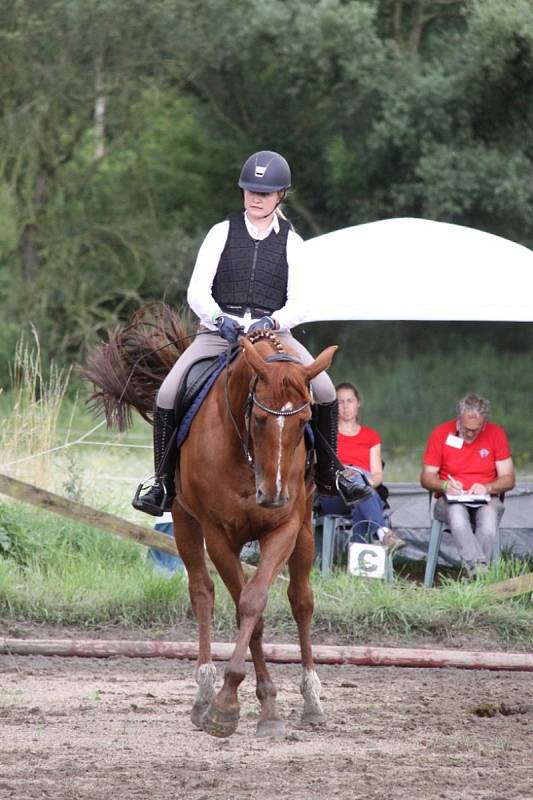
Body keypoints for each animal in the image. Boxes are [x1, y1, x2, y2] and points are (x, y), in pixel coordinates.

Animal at [82, 304, 336, 736]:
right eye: (259, 420)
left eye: (305, 422)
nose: (274, 496)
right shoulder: (219, 534)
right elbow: (247, 609)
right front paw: (231, 705)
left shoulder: (283, 528)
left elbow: (254, 603)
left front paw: (261, 708)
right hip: (185, 522)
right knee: (202, 593)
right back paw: (203, 695)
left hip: (304, 533)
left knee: (301, 601)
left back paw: (313, 701)